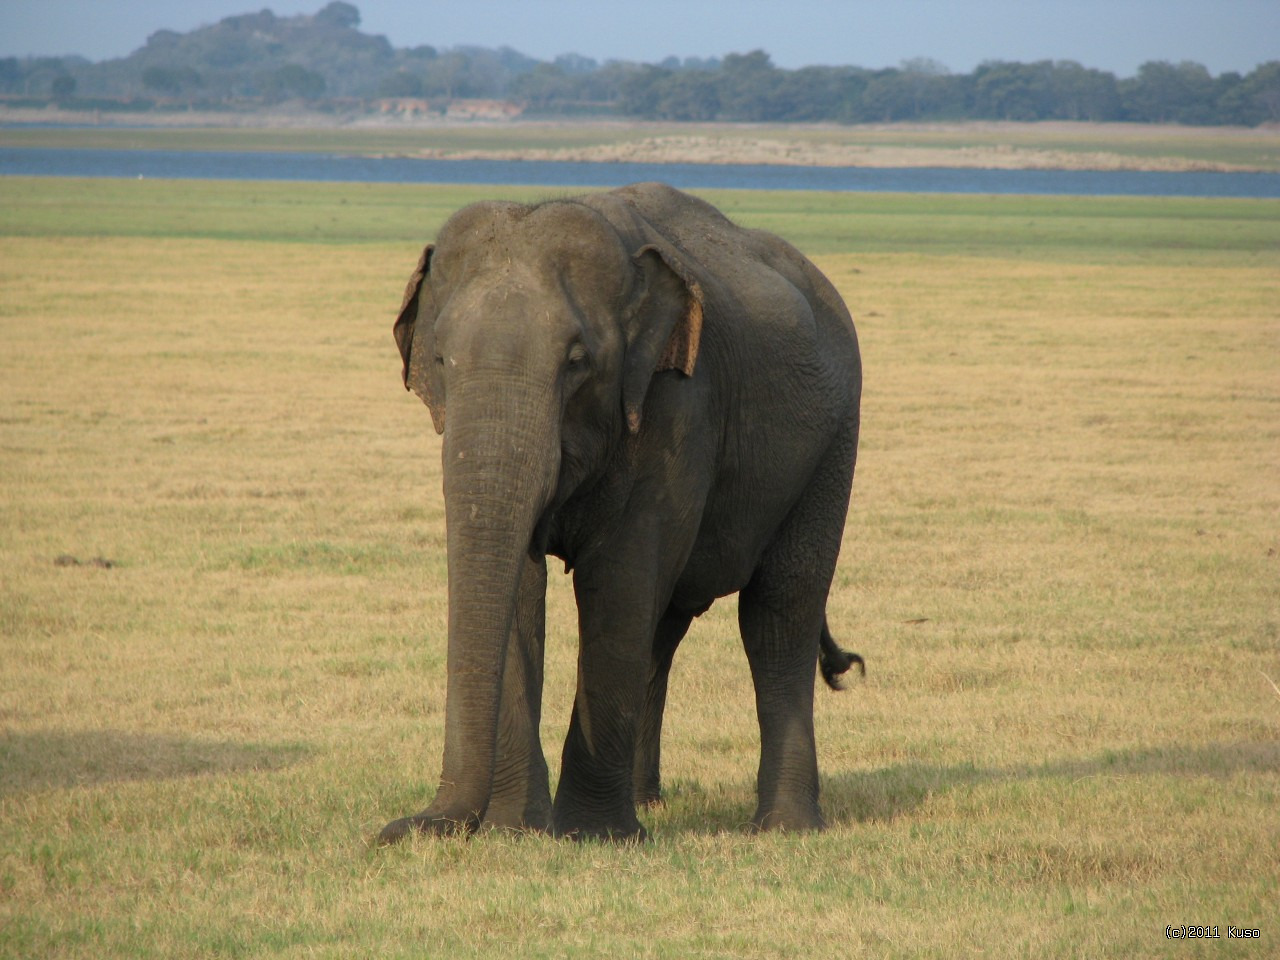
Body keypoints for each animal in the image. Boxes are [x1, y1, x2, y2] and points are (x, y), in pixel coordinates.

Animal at [376, 184, 860, 844]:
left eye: (577, 361)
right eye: (443, 360)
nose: (398, 828)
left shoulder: (677, 404)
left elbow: (619, 580)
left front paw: (590, 836)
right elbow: (522, 588)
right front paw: (516, 831)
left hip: (834, 442)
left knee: (779, 610)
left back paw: (785, 828)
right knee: (665, 626)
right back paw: (648, 803)